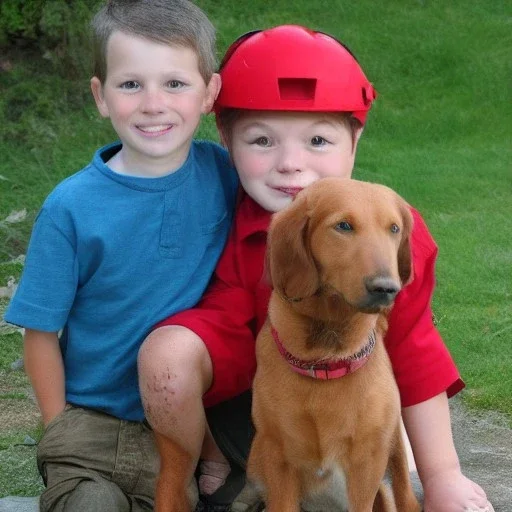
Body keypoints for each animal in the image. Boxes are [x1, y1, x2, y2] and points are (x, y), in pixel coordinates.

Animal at [247, 179, 420, 512]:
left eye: (394, 228)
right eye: (343, 226)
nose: (386, 288)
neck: (325, 359)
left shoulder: (366, 466)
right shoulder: (278, 459)